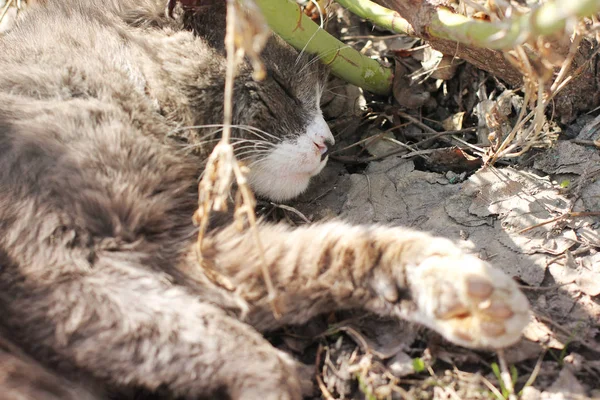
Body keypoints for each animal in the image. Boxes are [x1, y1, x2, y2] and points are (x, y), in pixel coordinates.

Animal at [0, 0, 528, 400]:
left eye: (319, 98)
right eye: (278, 84)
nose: (327, 143)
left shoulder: (193, 247)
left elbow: (320, 253)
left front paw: (458, 287)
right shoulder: (59, 265)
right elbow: (191, 333)